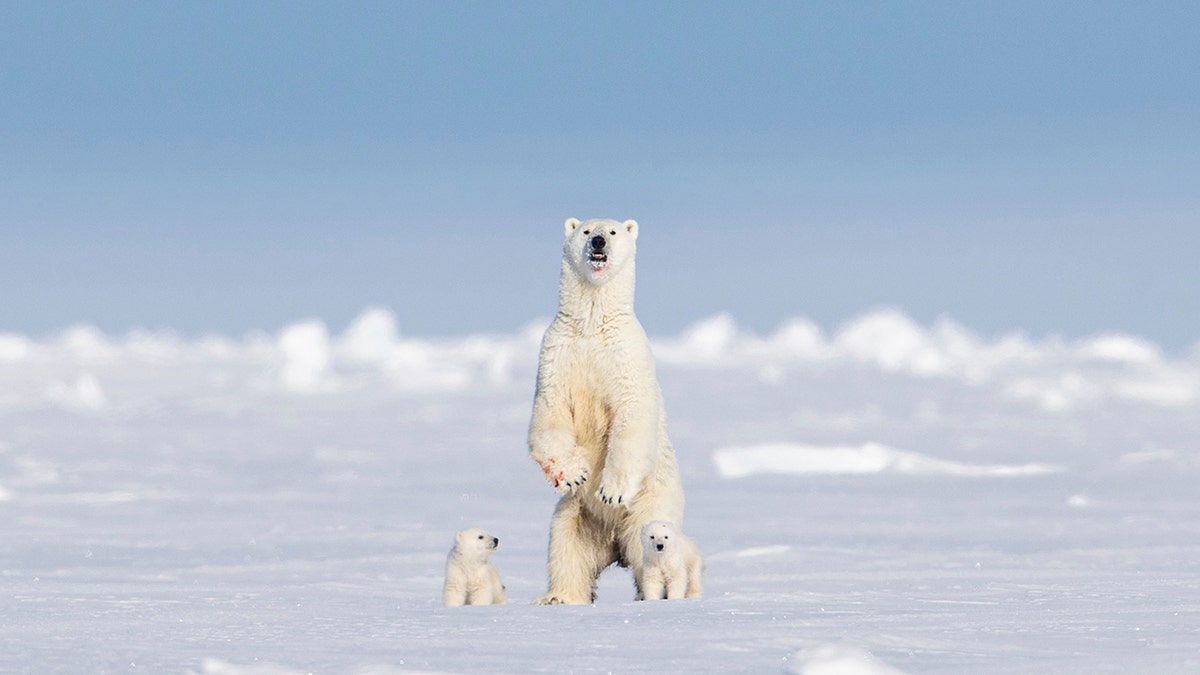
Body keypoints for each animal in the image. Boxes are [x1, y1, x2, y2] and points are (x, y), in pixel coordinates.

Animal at [532, 216, 691, 605]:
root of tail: (613, 546)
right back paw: (558, 596)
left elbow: (632, 417)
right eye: (586, 231)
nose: (599, 242)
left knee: (646, 549)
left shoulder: (626, 355)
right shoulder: (556, 353)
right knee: (566, 551)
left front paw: (611, 490)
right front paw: (573, 473)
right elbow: (550, 413)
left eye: (614, 231)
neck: (592, 325)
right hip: (575, 516)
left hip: (651, 508)